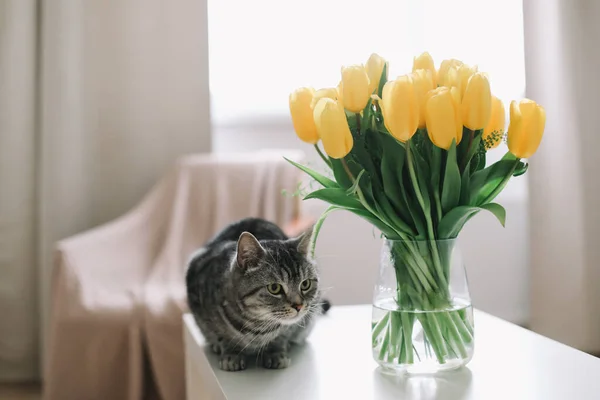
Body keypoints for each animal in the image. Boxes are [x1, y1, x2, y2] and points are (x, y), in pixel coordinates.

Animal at [186, 219, 328, 372]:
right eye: (274, 288)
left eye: (305, 284)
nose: (299, 306)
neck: (257, 326)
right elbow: (220, 334)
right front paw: (231, 352)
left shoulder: (293, 325)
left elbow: (282, 335)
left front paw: (275, 352)